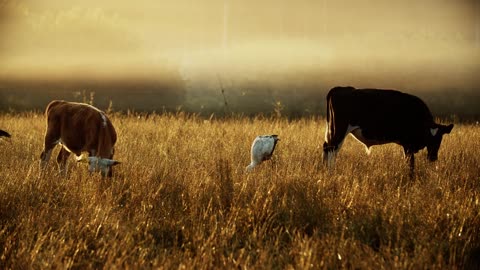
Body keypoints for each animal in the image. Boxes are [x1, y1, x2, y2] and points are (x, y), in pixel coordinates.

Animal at [322, 85, 454, 176]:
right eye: (428, 137)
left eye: (439, 138)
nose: (433, 157)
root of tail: (341, 88)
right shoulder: (408, 145)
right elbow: (410, 164)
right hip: (339, 130)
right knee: (331, 150)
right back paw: (331, 172)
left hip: (332, 130)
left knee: (326, 147)